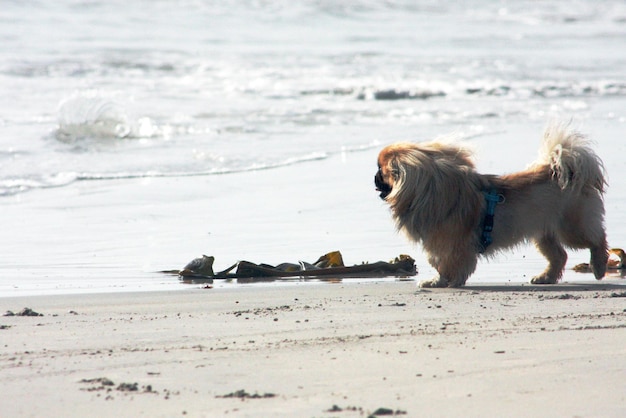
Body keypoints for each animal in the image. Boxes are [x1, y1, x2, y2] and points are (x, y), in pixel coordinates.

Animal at [372, 124, 608, 288]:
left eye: (381, 171)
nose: (373, 178)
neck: (430, 193)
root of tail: (564, 172)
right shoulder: (438, 244)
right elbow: (439, 263)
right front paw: (440, 281)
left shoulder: (451, 244)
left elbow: (447, 264)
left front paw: (444, 281)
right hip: (543, 234)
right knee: (559, 256)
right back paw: (545, 277)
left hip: (572, 228)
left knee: (598, 240)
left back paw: (598, 266)